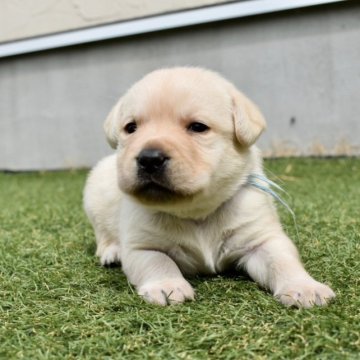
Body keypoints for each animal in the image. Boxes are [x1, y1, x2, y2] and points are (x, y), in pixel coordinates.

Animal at [83, 67, 334, 306]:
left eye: (198, 127)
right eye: (130, 128)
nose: (149, 158)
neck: (196, 213)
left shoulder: (262, 238)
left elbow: (282, 261)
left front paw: (304, 287)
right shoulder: (141, 245)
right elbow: (157, 261)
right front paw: (166, 286)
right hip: (94, 196)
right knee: (102, 233)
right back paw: (112, 252)